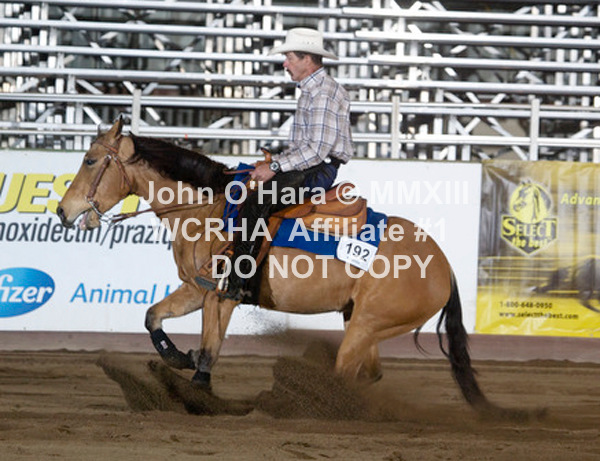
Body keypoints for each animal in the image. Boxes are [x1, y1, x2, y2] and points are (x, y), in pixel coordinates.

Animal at [57, 118, 513, 418]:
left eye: (91, 160)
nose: (64, 211)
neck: (208, 210)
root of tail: (444, 266)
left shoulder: (222, 297)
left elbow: (210, 352)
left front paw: (197, 395)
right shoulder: (198, 289)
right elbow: (153, 317)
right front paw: (178, 359)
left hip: (369, 324)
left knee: (344, 374)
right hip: (363, 322)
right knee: (369, 373)